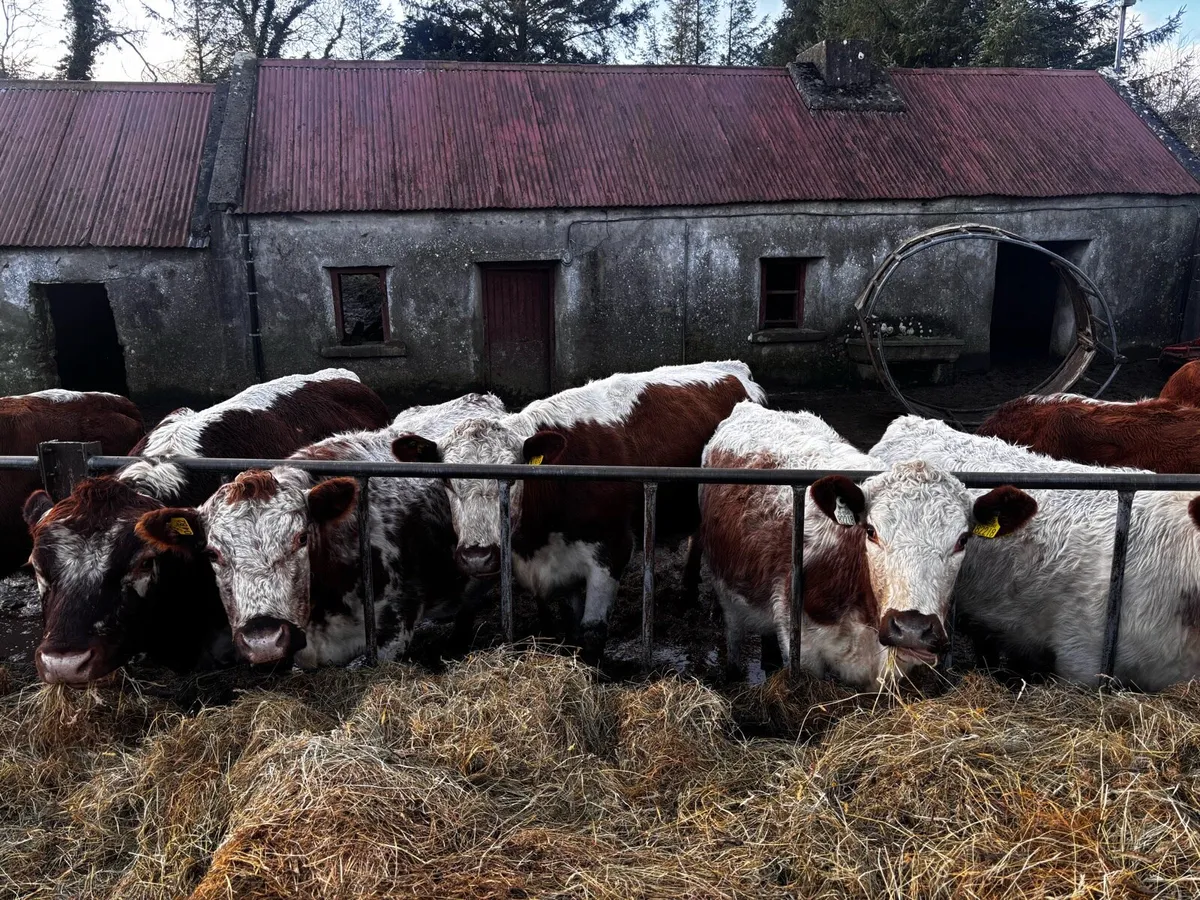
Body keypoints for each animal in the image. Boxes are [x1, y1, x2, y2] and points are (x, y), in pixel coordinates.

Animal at [391, 361, 766, 661]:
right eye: (447, 479)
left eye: (513, 477)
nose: (477, 556)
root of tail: (733, 368)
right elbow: (560, 624)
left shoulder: (612, 550)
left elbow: (592, 633)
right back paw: (687, 593)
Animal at [699, 402, 1036, 687]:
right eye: (871, 531)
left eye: (963, 539)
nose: (912, 627)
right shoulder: (804, 650)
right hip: (726, 591)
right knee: (734, 632)